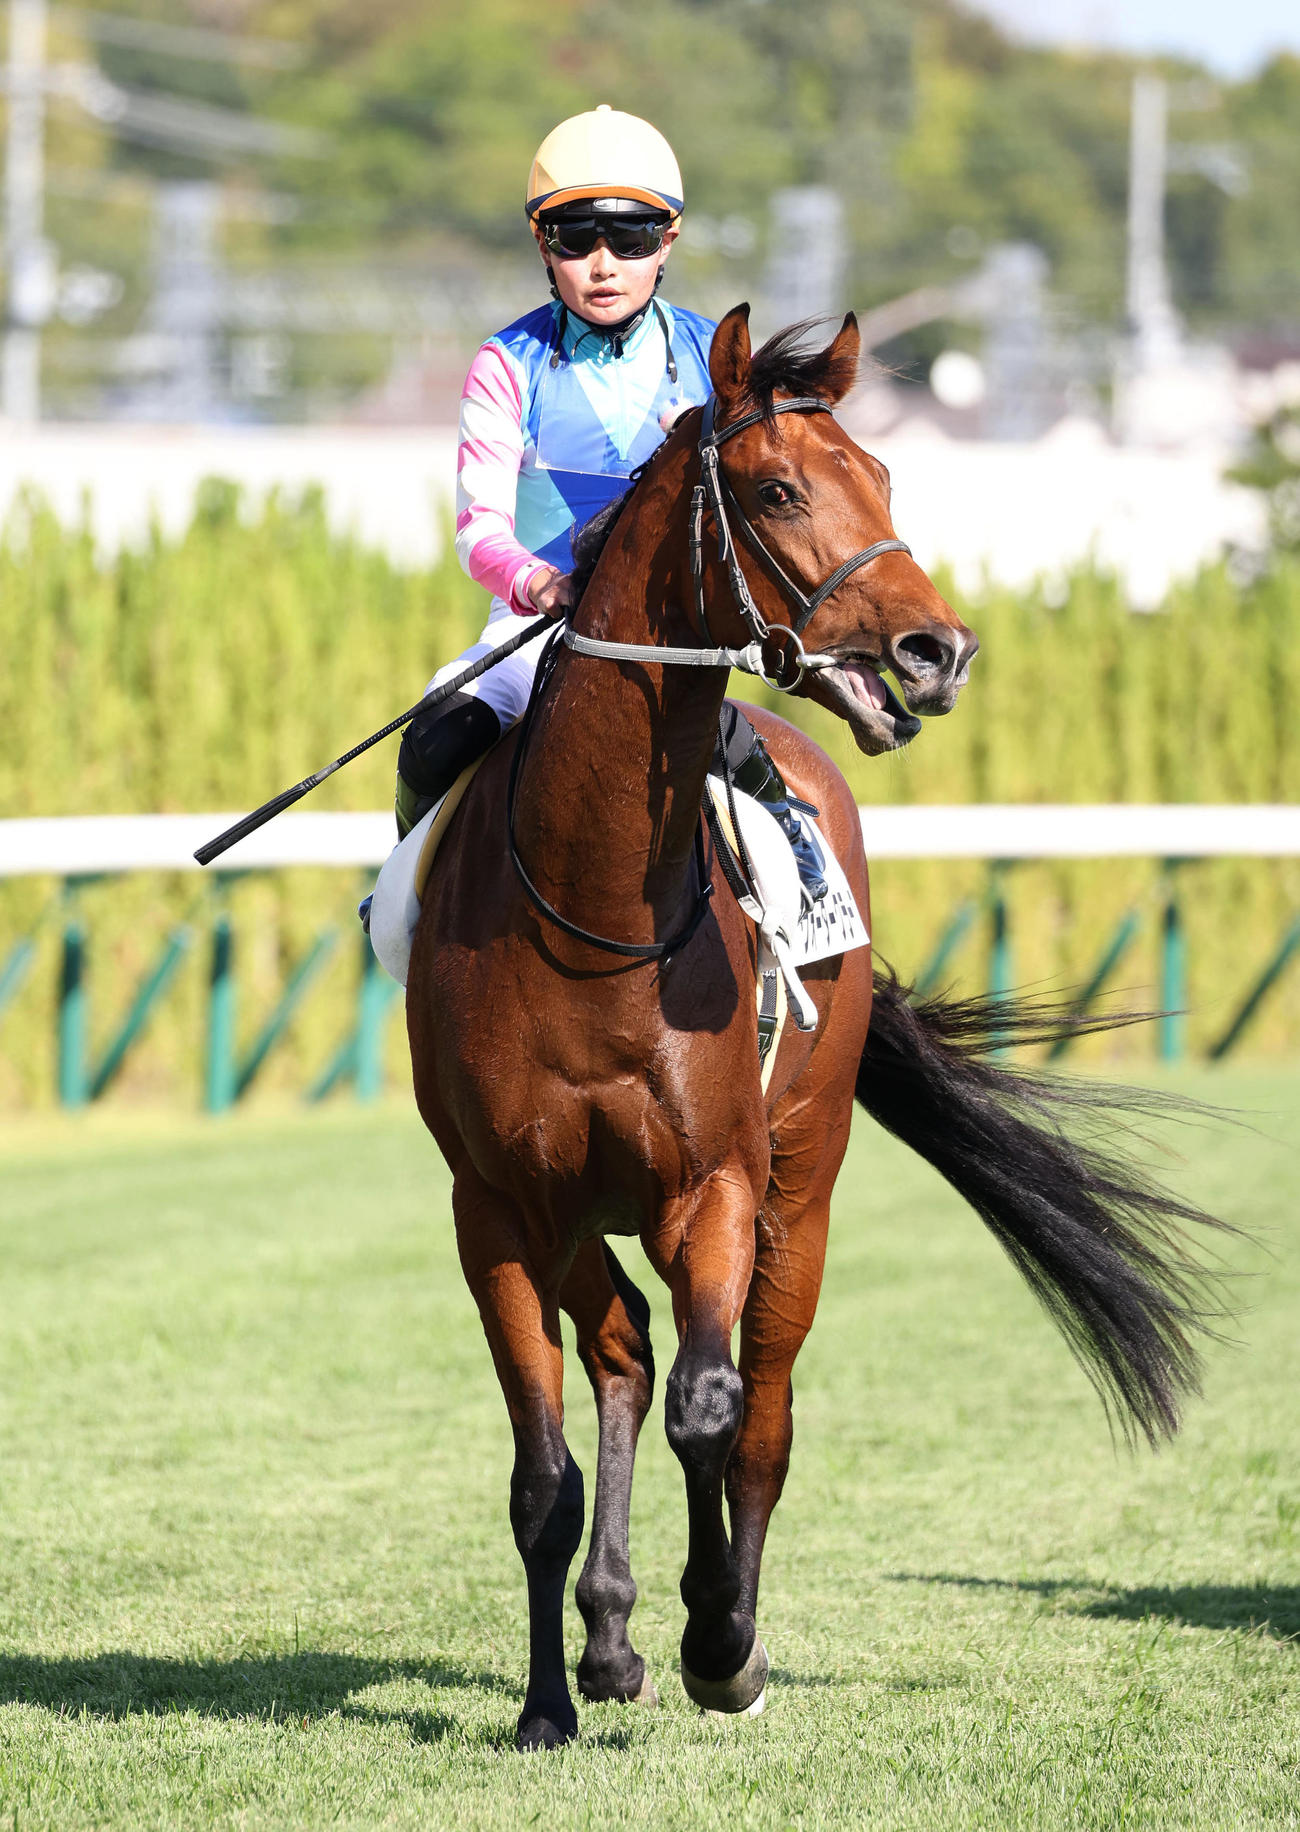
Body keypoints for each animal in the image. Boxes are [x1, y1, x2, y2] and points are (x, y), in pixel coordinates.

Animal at [406, 305, 1223, 1750]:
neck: (589, 912)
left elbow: (719, 1411)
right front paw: (553, 1700)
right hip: (577, 1213)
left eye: (885, 476)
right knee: (622, 1348)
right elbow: (543, 1477)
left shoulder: (717, 1184)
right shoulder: (497, 1205)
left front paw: (719, 1640)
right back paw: (608, 1637)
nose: (936, 652)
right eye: (780, 489)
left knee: (759, 1403)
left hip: (805, 1182)